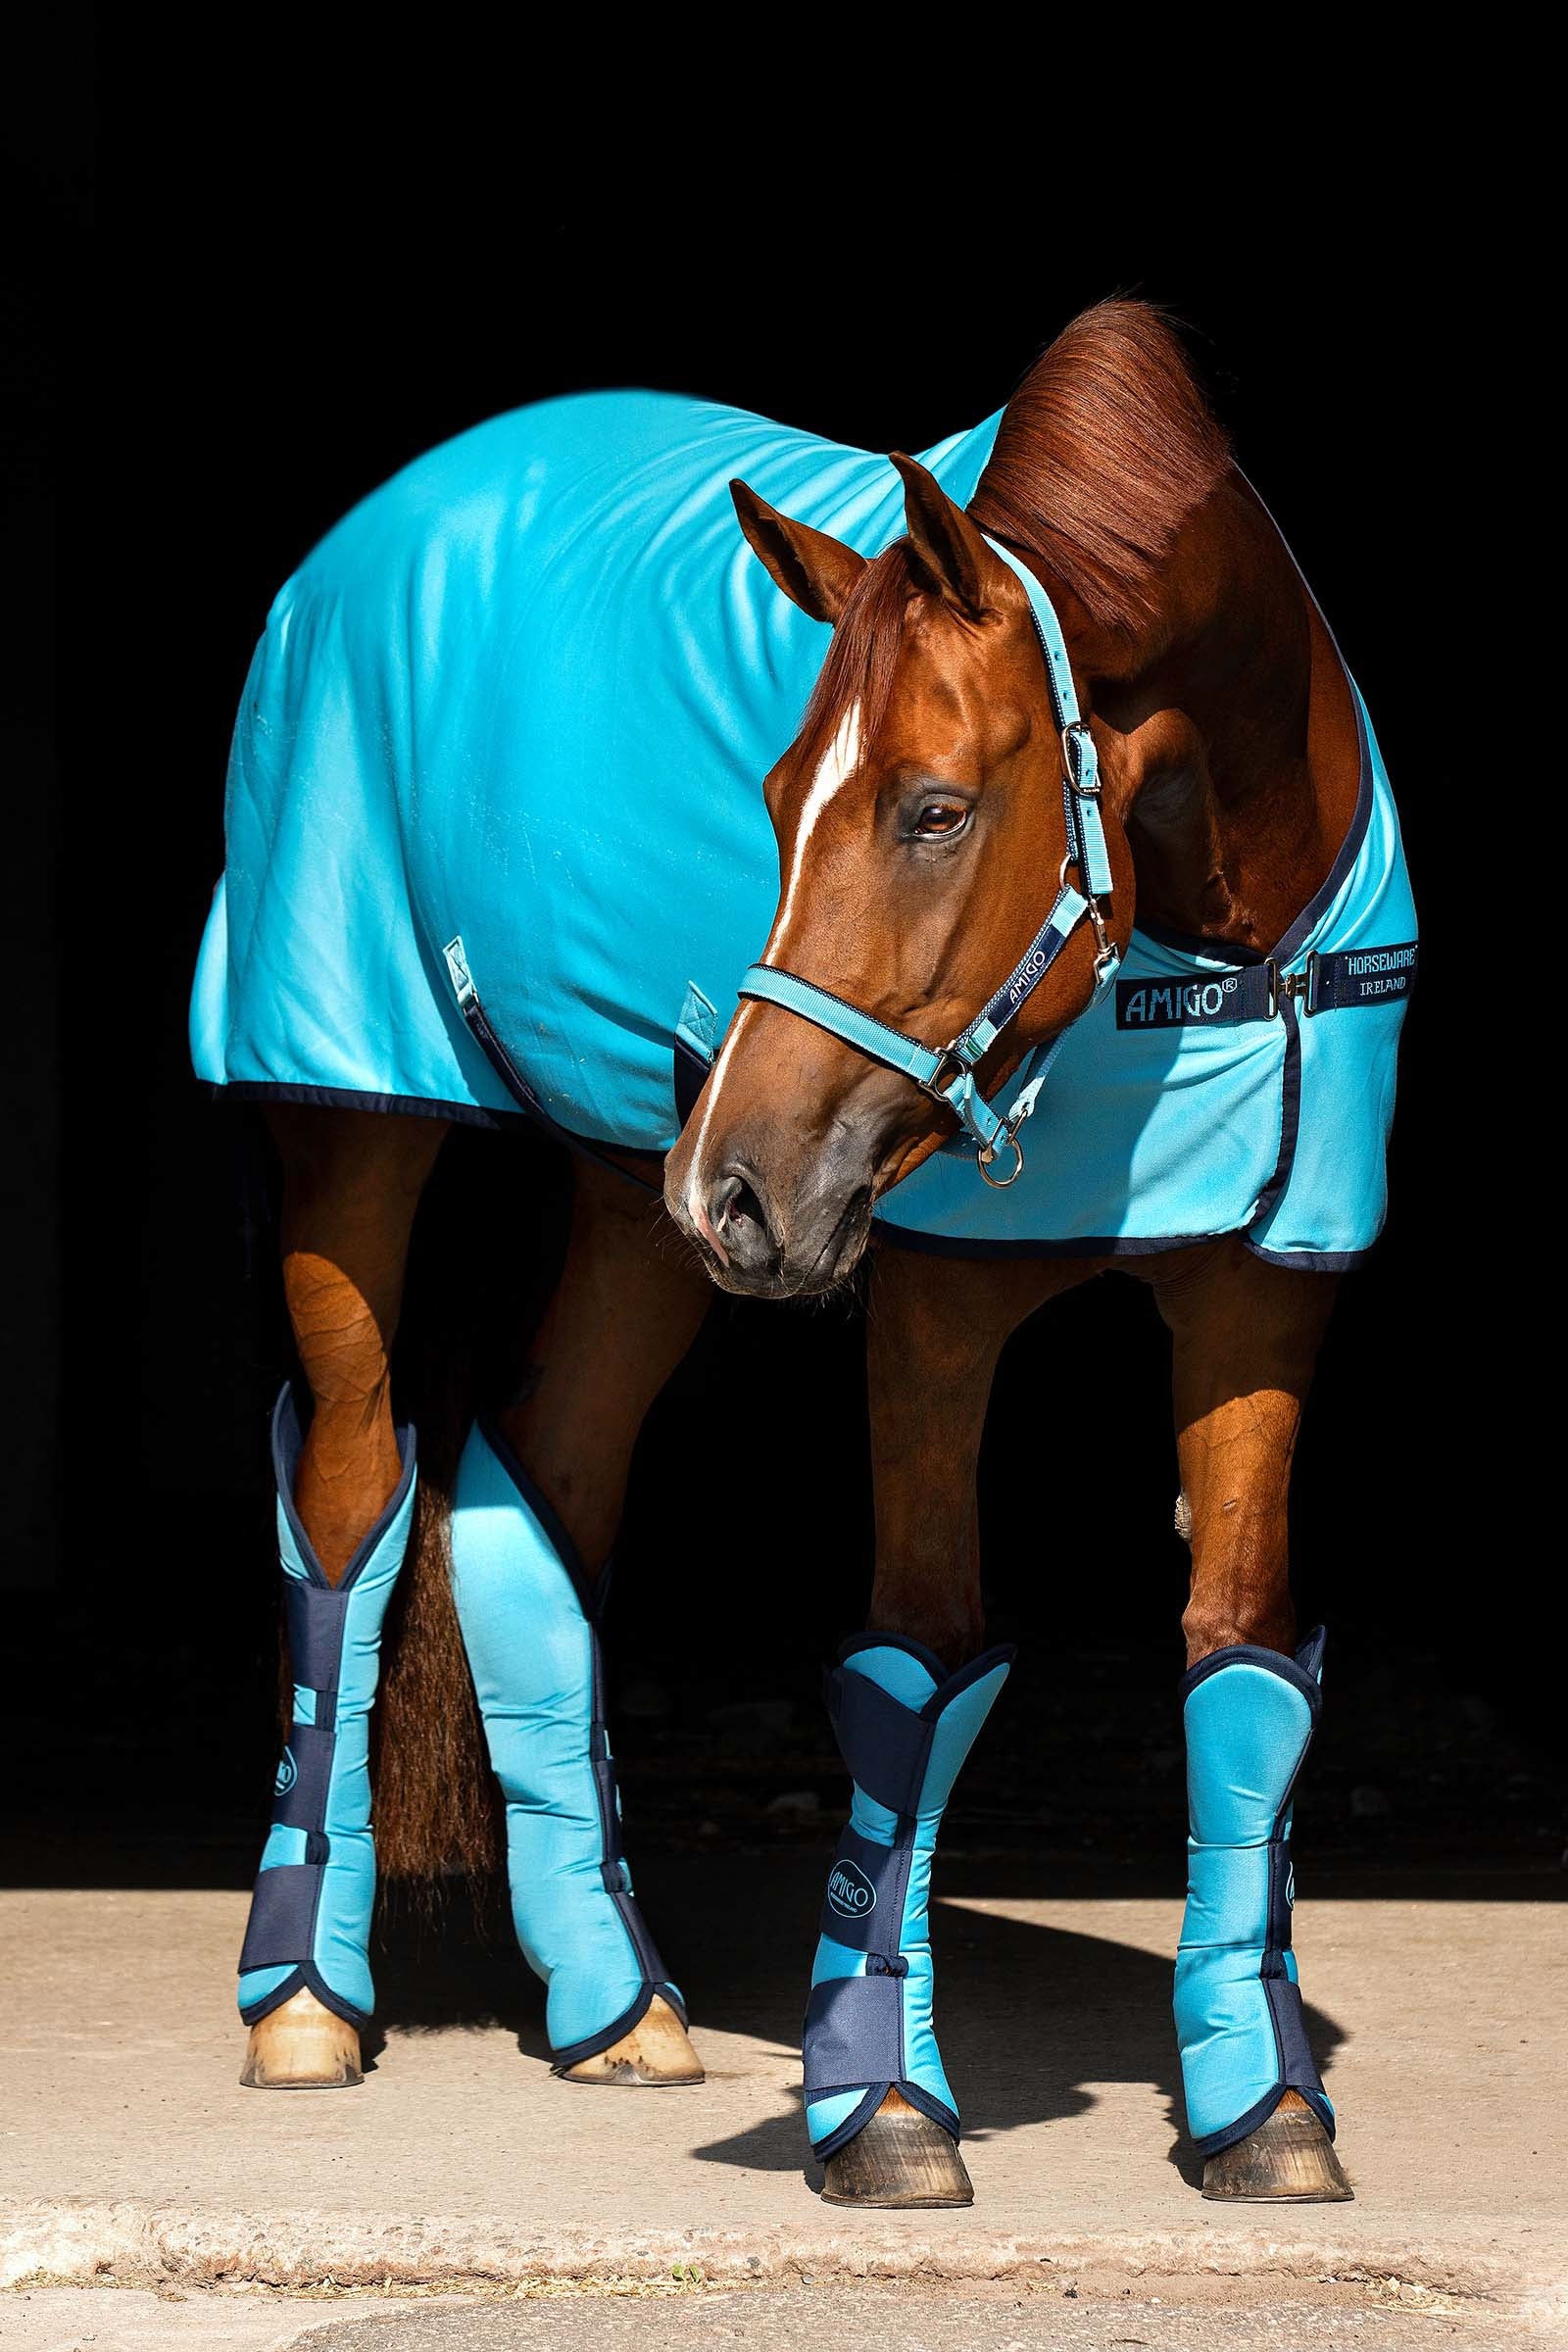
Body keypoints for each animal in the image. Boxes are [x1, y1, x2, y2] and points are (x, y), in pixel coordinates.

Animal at [191, 300, 1415, 2210]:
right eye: (771, 795)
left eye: (932, 808)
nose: (742, 1192)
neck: (1226, 952)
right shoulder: (935, 1306)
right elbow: (916, 1665)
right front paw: (882, 2103)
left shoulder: (1267, 1286)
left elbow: (1244, 1664)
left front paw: (1261, 2104)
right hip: (356, 1114)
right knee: (348, 1505)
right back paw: (304, 1999)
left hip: (628, 1198)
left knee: (537, 1494)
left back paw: (616, 2003)